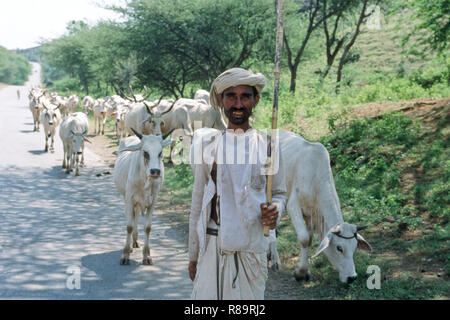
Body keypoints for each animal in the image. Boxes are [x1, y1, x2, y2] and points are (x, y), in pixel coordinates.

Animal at [113, 127, 173, 264]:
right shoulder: (129, 199)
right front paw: (125, 254)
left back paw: (135, 241)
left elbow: (147, 227)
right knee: (131, 216)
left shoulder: (153, 201)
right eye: (145, 152)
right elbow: (129, 226)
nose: (155, 171)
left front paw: (147, 255)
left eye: (160, 152)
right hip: (126, 198)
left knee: (135, 216)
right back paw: (131, 245)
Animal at [268, 131, 370, 284]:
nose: (352, 277)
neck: (315, 176)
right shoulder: (293, 205)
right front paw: (299, 273)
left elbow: (309, 239)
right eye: (339, 248)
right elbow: (304, 238)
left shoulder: (311, 213)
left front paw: (305, 272)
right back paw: (274, 260)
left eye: (355, 246)